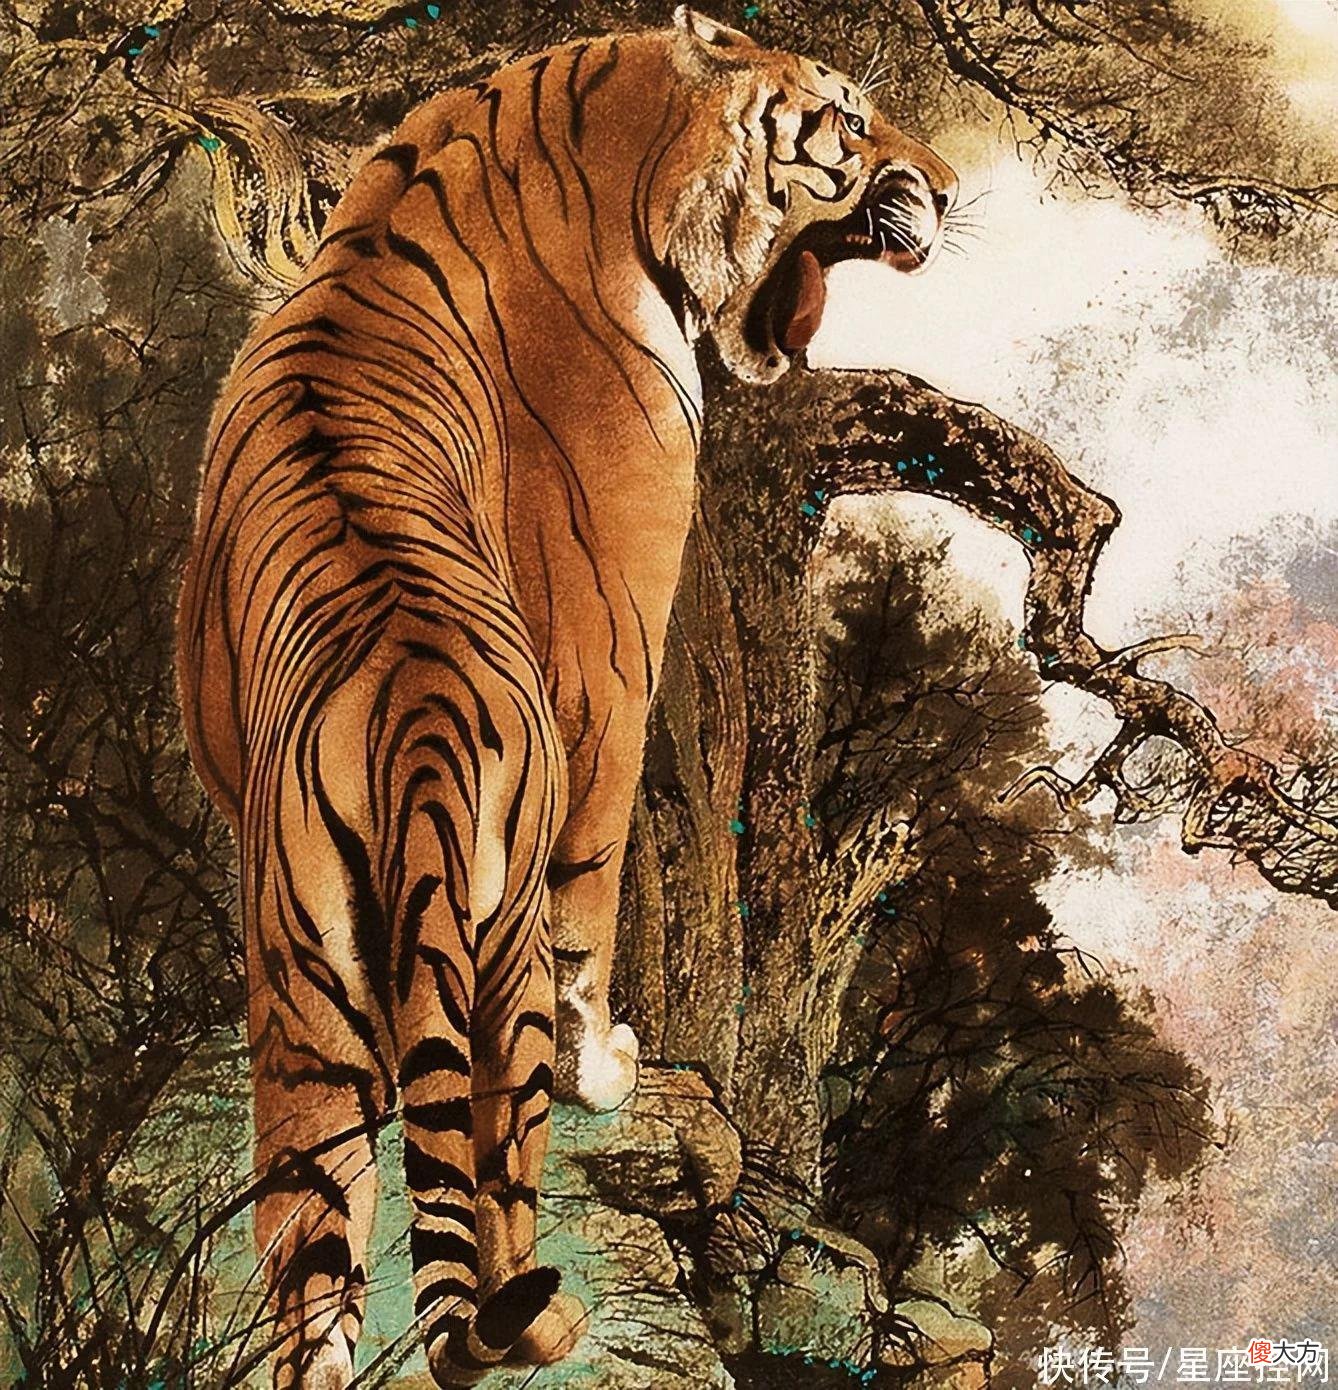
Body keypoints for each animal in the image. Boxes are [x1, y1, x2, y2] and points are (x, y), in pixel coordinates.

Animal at [176, 7, 955, 1386]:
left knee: (317, 1272)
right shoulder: (613, 662)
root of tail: (421, 729)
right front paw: (611, 1064)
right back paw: (553, 1302)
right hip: (485, 968)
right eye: (854, 122)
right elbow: (597, 893)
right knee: (497, 1186)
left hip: (309, 1011)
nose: (953, 191)